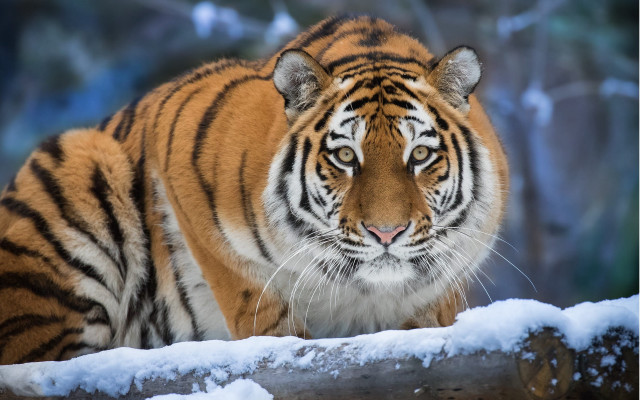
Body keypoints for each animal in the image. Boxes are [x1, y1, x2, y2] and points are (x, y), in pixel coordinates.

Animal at [0, 15, 508, 365]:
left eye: (419, 155)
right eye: (346, 157)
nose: (387, 233)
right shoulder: (187, 170)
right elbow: (262, 312)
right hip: (77, 174)